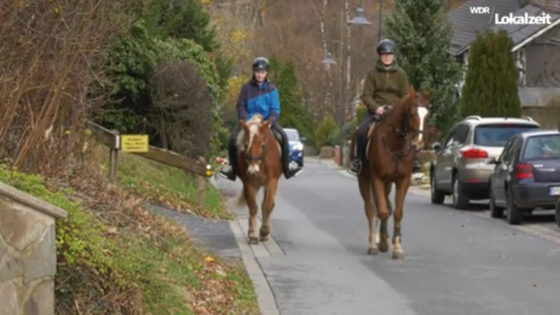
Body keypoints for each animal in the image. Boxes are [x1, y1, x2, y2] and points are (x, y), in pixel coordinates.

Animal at [236, 114, 282, 244]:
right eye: (246, 145)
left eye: (262, 145)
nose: (253, 171)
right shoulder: (249, 183)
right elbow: (252, 206)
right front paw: (253, 234)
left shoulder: (272, 182)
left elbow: (268, 205)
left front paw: (264, 231)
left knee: (265, 204)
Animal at [356, 87, 430, 260]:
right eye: (411, 113)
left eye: (427, 114)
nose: (418, 144)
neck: (394, 143)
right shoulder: (377, 179)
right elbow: (382, 212)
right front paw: (382, 243)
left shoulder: (403, 180)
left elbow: (396, 213)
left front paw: (397, 247)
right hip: (364, 180)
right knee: (370, 209)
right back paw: (373, 243)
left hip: (388, 184)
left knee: (385, 207)